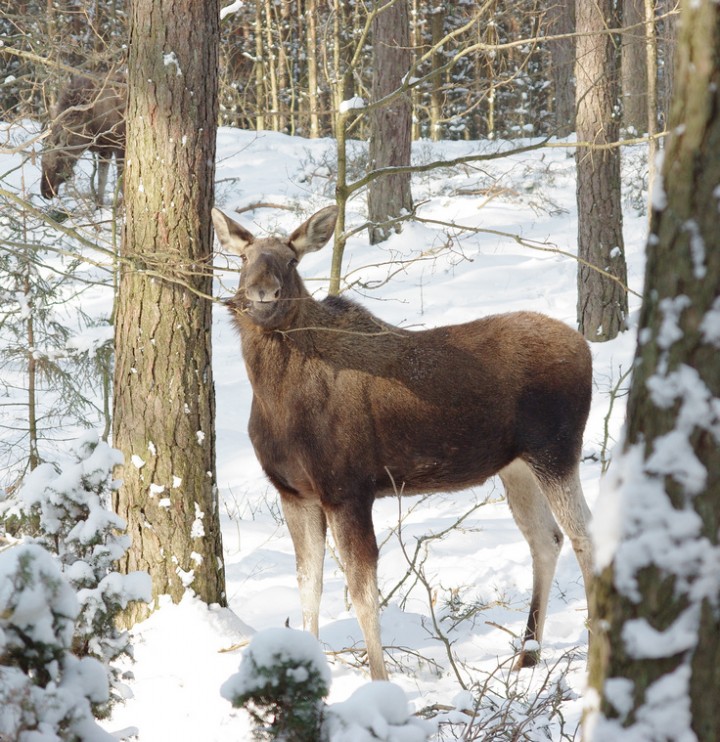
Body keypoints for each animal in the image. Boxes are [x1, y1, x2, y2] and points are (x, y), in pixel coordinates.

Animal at [41, 74, 126, 208]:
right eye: (41, 163)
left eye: (56, 165)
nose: (45, 192)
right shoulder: (104, 150)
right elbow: (101, 182)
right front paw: (99, 207)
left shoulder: (121, 146)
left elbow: (121, 184)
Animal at [211, 203, 592, 680]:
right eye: (243, 258)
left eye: (292, 260)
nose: (264, 292)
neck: (277, 400)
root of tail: (587, 347)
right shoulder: (295, 492)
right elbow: (308, 586)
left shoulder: (348, 490)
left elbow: (362, 594)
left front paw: (379, 679)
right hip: (517, 465)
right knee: (546, 539)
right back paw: (528, 654)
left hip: (557, 450)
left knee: (585, 536)